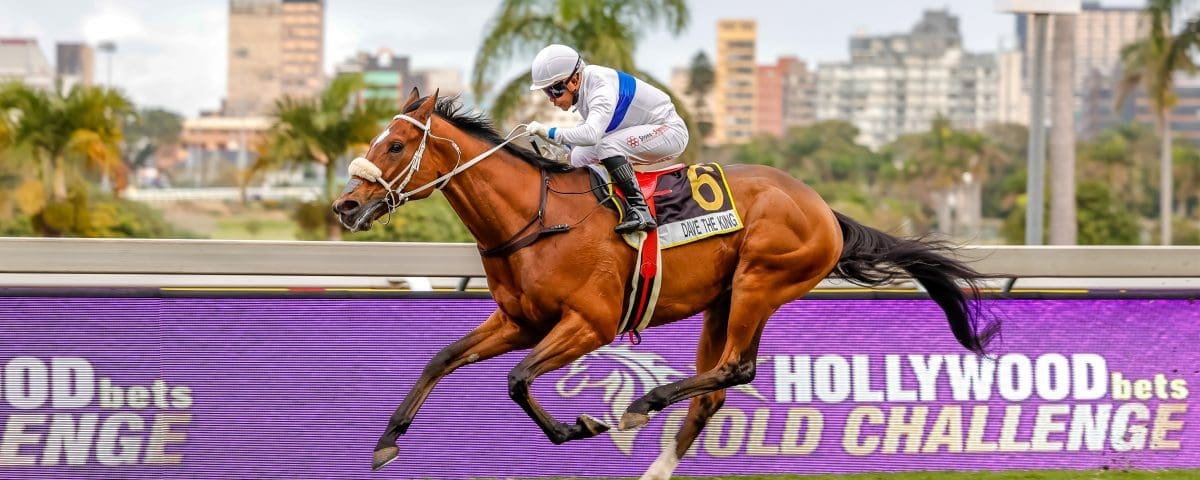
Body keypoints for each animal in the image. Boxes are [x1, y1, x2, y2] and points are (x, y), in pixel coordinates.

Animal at [333, 88, 998, 475]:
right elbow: (441, 359)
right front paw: (386, 442)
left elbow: (518, 381)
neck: (537, 220)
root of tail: (824, 209)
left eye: (395, 145)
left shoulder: (590, 324)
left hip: (761, 281)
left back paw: (640, 405)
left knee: (735, 369)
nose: (345, 206)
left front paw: (579, 425)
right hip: (723, 300)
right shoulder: (520, 321)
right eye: (375, 139)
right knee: (714, 389)